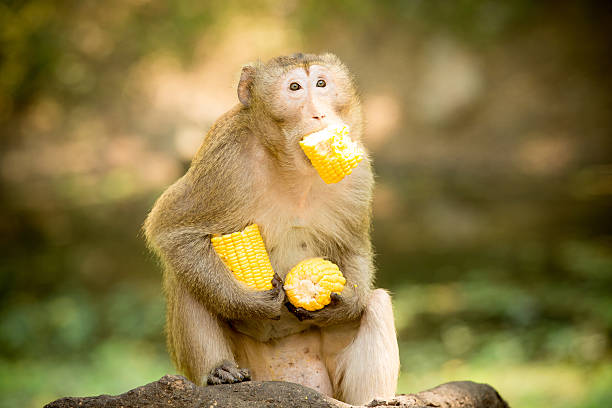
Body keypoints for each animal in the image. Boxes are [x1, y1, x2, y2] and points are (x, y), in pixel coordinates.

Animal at [144, 51, 402, 404]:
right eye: (294, 87)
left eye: (321, 83)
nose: (319, 113)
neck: (292, 169)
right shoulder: (223, 160)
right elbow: (172, 230)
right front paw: (248, 302)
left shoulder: (359, 172)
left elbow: (353, 247)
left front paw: (343, 305)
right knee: (185, 279)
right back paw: (219, 371)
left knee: (376, 303)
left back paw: (374, 400)